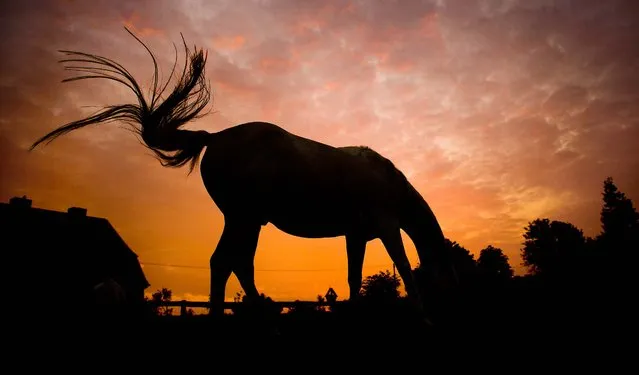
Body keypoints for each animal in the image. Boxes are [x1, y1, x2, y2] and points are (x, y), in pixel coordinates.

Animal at [32, 28, 458, 324]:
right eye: (448, 280)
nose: (451, 312)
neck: (388, 180)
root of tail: (215, 137)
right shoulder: (387, 227)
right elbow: (404, 268)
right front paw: (422, 315)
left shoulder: (356, 235)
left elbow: (354, 277)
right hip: (244, 218)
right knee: (229, 262)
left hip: (245, 220)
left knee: (232, 263)